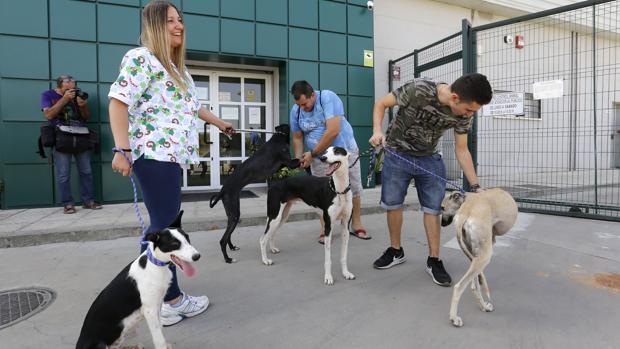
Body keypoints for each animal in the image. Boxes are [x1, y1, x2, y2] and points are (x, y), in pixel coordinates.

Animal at [76, 211, 200, 346]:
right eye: (175, 244)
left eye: (187, 238)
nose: (197, 256)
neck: (155, 265)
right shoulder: (149, 310)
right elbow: (159, 338)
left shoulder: (157, 305)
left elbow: (160, 329)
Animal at [208, 123, 300, 262]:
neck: (278, 137)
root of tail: (222, 190)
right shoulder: (289, 163)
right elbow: (299, 160)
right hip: (234, 214)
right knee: (222, 240)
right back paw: (228, 259)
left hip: (232, 214)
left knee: (228, 234)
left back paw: (232, 247)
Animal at [258, 145, 354, 284]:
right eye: (325, 152)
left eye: (337, 151)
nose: (323, 158)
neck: (339, 190)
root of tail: (276, 181)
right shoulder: (328, 226)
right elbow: (328, 258)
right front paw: (328, 277)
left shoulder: (345, 226)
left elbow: (344, 255)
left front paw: (346, 273)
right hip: (274, 216)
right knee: (262, 239)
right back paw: (265, 260)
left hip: (282, 216)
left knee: (271, 234)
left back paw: (273, 249)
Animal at [440, 188, 520, 326]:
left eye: (442, 208)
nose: (441, 224)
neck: (465, 200)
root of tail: (466, 211)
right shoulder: (489, 244)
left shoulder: (474, 252)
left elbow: (476, 280)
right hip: (485, 256)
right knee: (459, 287)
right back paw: (454, 318)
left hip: (476, 254)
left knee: (473, 287)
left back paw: (484, 306)